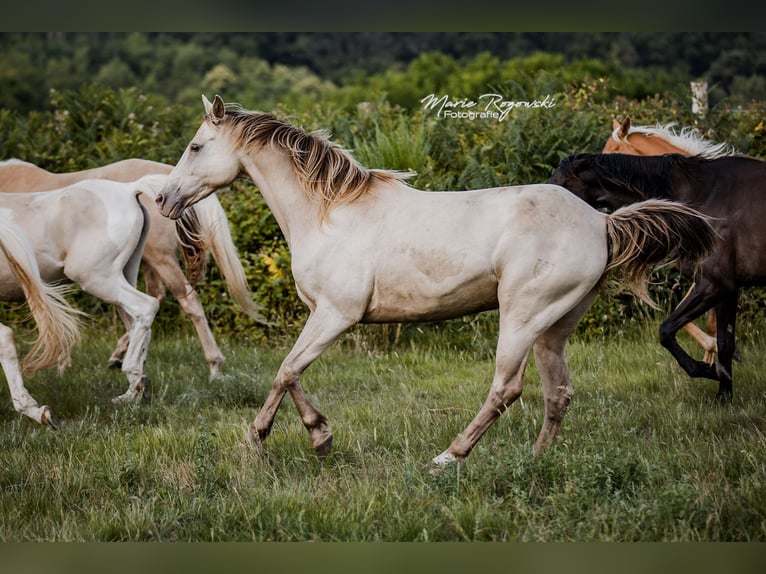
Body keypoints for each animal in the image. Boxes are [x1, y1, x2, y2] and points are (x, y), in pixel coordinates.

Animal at [0, 158, 263, 378]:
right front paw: (62, 364)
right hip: (139, 265)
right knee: (151, 300)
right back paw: (124, 360)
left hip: (154, 260)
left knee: (184, 300)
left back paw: (213, 365)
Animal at [154, 95, 715, 468]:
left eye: (196, 146)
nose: (162, 199)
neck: (329, 214)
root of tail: (600, 222)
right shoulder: (325, 315)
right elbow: (290, 373)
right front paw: (313, 436)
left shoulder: (336, 314)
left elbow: (286, 370)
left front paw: (272, 437)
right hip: (554, 326)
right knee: (558, 393)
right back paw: (534, 462)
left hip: (522, 316)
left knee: (506, 388)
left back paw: (448, 457)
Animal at [550, 151, 766, 401]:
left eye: (562, 186)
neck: (700, 198)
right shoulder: (728, 291)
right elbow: (724, 343)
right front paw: (723, 394)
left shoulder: (715, 285)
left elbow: (666, 331)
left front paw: (708, 372)